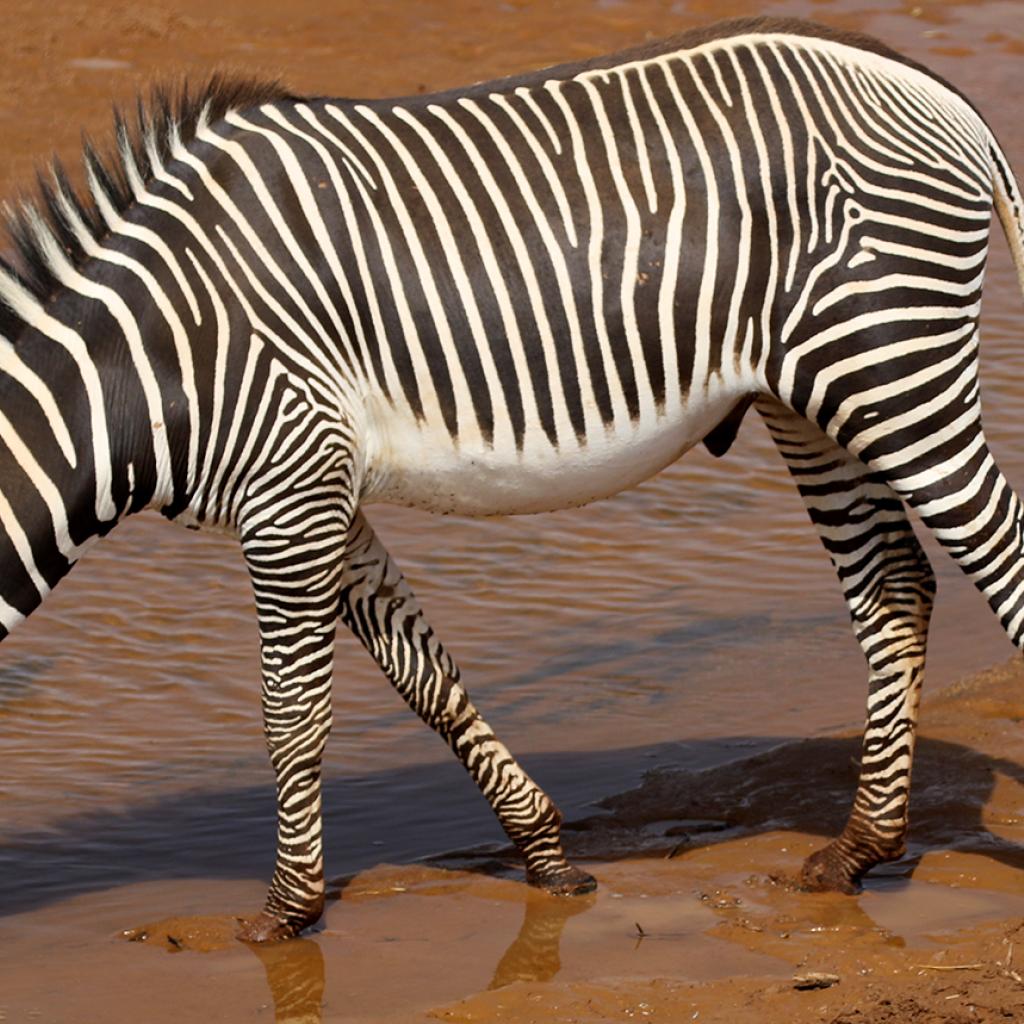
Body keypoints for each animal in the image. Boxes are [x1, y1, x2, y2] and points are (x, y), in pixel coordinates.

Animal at [0, 18, 1019, 942]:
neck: (140, 368)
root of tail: (936, 90)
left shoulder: (292, 485)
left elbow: (292, 714)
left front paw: (284, 914)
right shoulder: (328, 495)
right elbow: (427, 677)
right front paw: (548, 858)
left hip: (893, 363)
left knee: (996, 553)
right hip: (816, 396)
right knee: (894, 587)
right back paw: (857, 852)